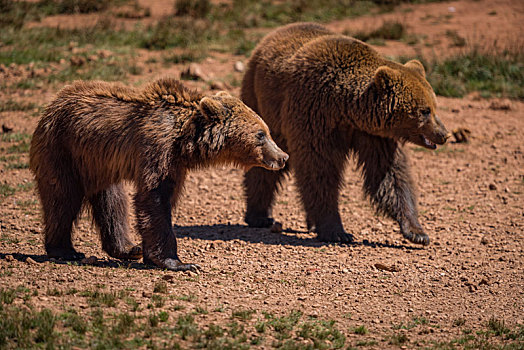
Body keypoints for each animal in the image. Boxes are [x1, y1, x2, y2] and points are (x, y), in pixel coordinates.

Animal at [30, 78, 288, 272]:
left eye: (266, 130)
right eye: (261, 134)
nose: (283, 157)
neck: (185, 140)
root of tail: (54, 102)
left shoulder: (175, 164)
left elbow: (163, 200)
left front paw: (148, 253)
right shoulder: (157, 148)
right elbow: (155, 198)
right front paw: (180, 263)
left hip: (97, 162)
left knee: (112, 202)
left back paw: (127, 248)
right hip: (62, 149)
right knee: (62, 199)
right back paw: (65, 250)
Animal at [242, 21, 450, 246]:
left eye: (434, 106)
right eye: (424, 111)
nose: (444, 134)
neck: (347, 109)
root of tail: (274, 33)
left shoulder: (374, 135)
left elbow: (389, 174)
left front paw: (416, 231)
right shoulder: (315, 115)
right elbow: (319, 170)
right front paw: (337, 231)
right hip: (262, 103)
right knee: (264, 166)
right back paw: (259, 216)